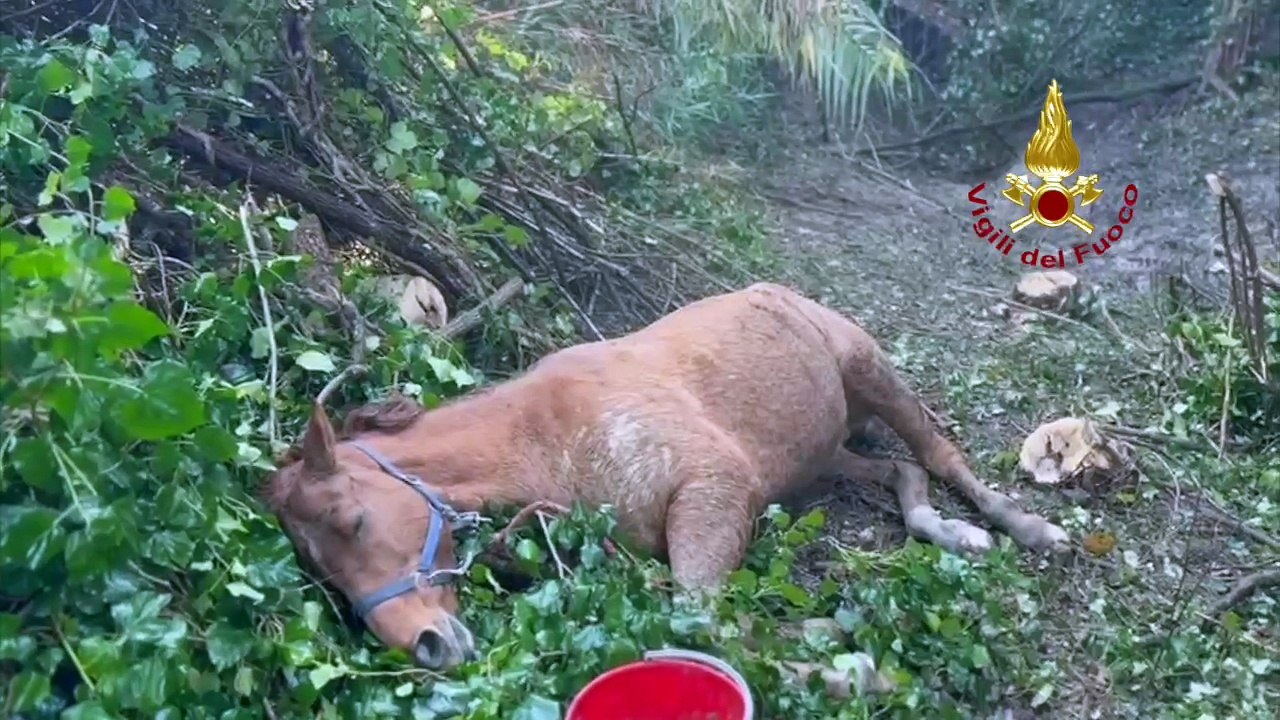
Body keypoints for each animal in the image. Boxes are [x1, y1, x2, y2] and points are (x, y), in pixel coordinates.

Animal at [263, 282, 1068, 670]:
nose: (426, 647)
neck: (547, 439)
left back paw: (1021, 529)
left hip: (872, 373)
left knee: (938, 453)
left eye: (354, 521)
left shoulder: (713, 490)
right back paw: (950, 531)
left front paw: (846, 665)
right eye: (324, 576)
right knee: (901, 472)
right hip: (820, 455)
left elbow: (699, 619)